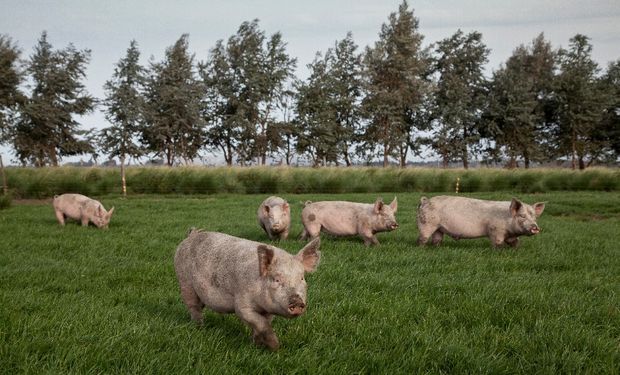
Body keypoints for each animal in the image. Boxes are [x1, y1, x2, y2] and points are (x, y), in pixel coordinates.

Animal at [173, 229, 322, 352]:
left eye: (301, 278)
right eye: (276, 280)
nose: (297, 301)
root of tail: (191, 236)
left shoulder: (268, 310)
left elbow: (262, 324)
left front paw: (257, 345)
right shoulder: (242, 305)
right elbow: (261, 323)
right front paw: (276, 347)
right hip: (185, 282)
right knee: (193, 307)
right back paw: (199, 327)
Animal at [416, 195, 548, 248]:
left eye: (534, 217)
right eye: (522, 216)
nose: (535, 227)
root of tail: (425, 201)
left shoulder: (511, 235)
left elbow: (515, 242)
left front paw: (516, 250)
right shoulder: (495, 230)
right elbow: (497, 243)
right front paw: (498, 252)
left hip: (439, 228)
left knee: (437, 239)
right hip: (427, 224)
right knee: (422, 239)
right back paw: (422, 249)